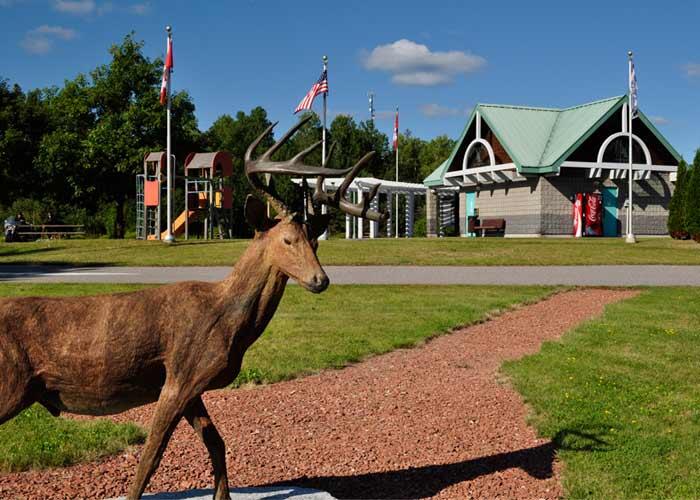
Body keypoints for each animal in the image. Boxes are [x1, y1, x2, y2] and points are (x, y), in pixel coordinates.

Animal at [0, 115, 386, 498]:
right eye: (288, 240)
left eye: (315, 243)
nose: (321, 280)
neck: (228, 322)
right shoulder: (180, 373)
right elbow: (151, 456)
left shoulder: (192, 382)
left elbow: (216, 442)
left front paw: (222, 495)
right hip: (11, 380)